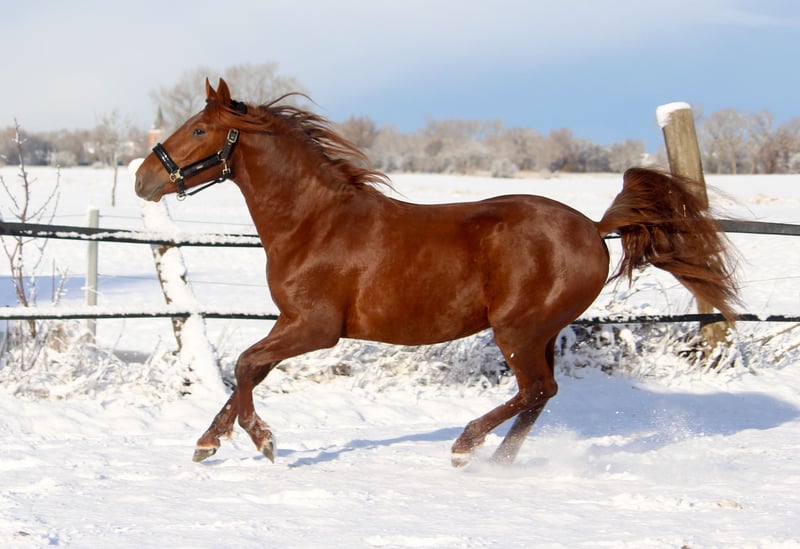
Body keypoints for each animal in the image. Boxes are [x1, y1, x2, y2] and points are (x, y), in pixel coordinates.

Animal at [135, 78, 738, 467]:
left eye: (199, 131)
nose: (143, 179)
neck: (314, 223)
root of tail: (594, 225)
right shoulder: (292, 323)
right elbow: (250, 371)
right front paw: (218, 442)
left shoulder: (315, 328)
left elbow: (245, 365)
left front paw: (254, 442)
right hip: (540, 333)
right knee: (541, 394)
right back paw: (497, 459)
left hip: (519, 331)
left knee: (535, 390)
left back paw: (467, 447)